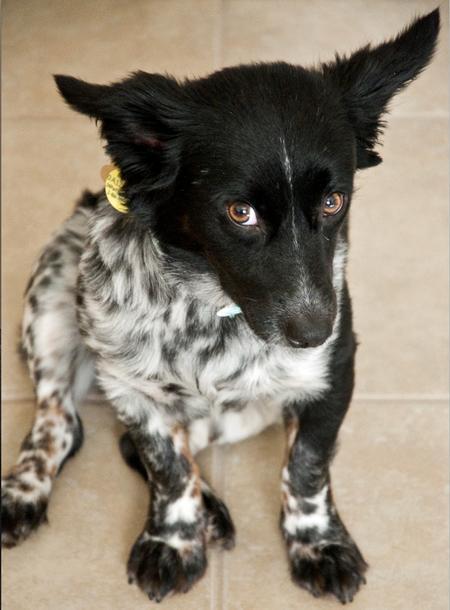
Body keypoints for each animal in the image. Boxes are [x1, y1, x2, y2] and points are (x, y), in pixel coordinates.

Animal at [0, 9, 440, 604]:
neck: (213, 310)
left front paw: (317, 542)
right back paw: (25, 492)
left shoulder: (333, 375)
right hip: (51, 294)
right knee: (61, 421)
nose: (313, 333)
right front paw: (174, 539)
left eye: (334, 201)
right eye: (239, 212)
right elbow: (167, 467)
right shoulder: (132, 390)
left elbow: (307, 466)